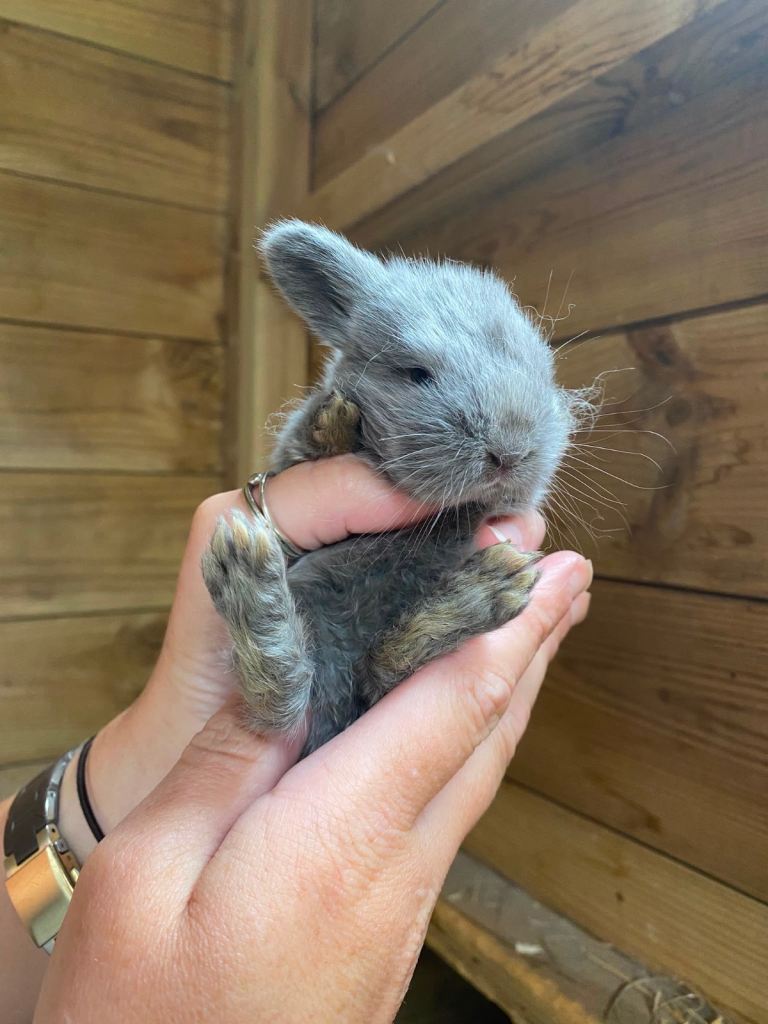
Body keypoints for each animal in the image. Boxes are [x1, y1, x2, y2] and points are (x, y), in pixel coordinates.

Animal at [202, 220, 589, 755]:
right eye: (416, 373)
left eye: (543, 375)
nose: (509, 453)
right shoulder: (290, 461)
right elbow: (312, 440)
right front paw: (335, 419)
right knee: (285, 696)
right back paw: (244, 570)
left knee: (378, 671)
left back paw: (482, 592)